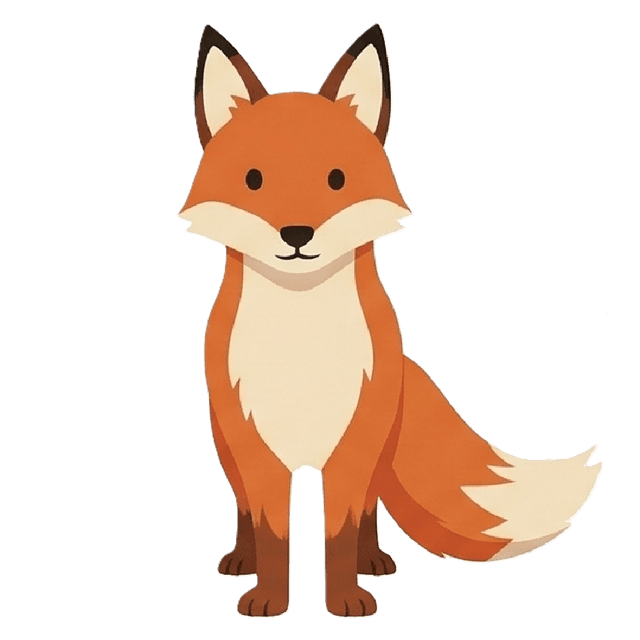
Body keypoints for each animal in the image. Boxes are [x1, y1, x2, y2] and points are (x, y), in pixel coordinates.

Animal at [178, 24, 603, 618]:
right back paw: (241, 558)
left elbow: (338, 531)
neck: (300, 346)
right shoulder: (256, 444)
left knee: (368, 513)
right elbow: (272, 533)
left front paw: (344, 599)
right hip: (226, 446)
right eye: (254, 180)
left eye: (336, 179)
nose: (297, 234)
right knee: (242, 507)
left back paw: (371, 561)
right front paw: (268, 598)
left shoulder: (355, 445)